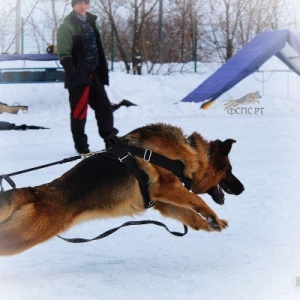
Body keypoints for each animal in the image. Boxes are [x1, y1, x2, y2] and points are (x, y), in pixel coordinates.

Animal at [0, 123, 244, 254]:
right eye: (229, 170)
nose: (242, 189)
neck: (191, 152)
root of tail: (34, 191)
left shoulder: (163, 203)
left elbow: (189, 216)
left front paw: (212, 223)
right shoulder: (167, 188)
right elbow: (198, 201)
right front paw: (212, 217)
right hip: (20, 236)